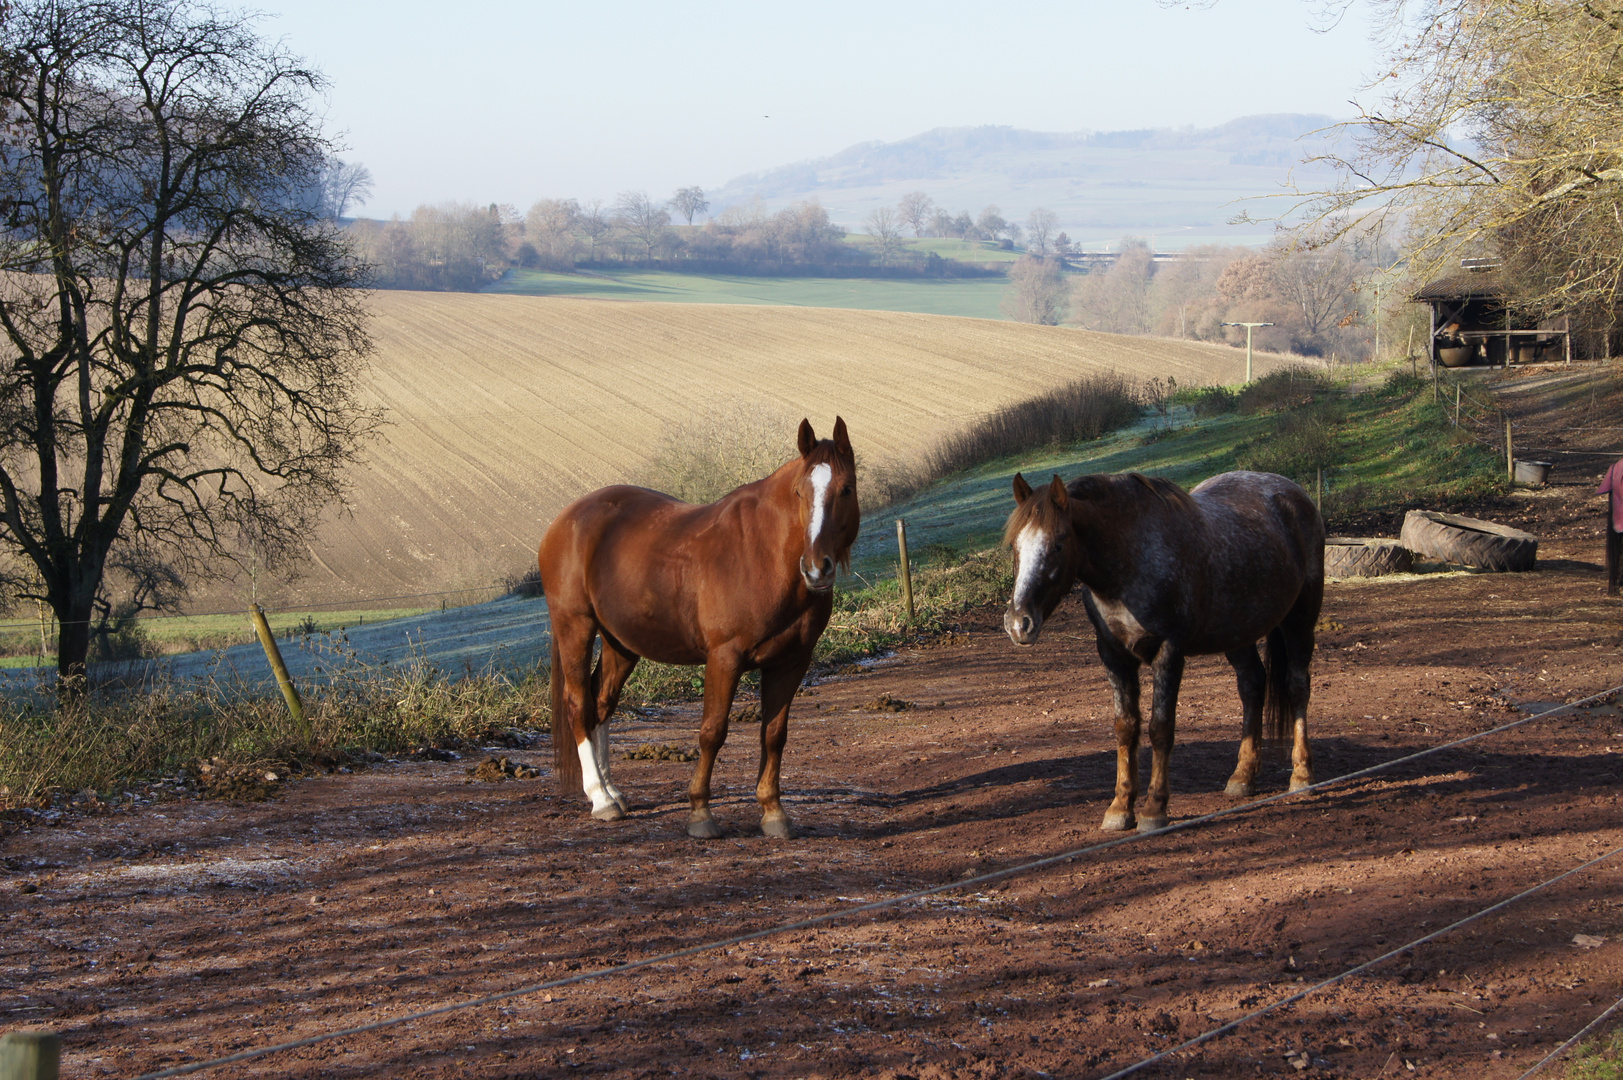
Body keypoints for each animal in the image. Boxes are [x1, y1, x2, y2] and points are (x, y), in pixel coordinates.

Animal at [538, 415, 856, 838]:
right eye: (799, 492)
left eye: (846, 489)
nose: (817, 568)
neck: (764, 555)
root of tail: (565, 520)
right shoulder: (724, 657)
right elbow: (712, 731)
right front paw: (700, 813)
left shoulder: (791, 662)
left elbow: (774, 735)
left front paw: (773, 812)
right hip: (575, 625)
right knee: (579, 703)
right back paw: (600, 800)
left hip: (620, 642)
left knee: (601, 702)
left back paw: (612, 793)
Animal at [1006, 467, 1324, 828]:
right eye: (1015, 546)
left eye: (1058, 544)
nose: (1019, 623)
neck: (1130, 562)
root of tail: (1291, 490)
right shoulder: (1114, 657)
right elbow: (1126, 728)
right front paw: (1120, 807)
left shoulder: (1169, 652)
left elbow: (1160, 728)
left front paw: (1154, 808)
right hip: (1236, 632)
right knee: (1253, 685)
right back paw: (1242, 777)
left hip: (1300, 620)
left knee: (1297, 687)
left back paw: (1302, 776)